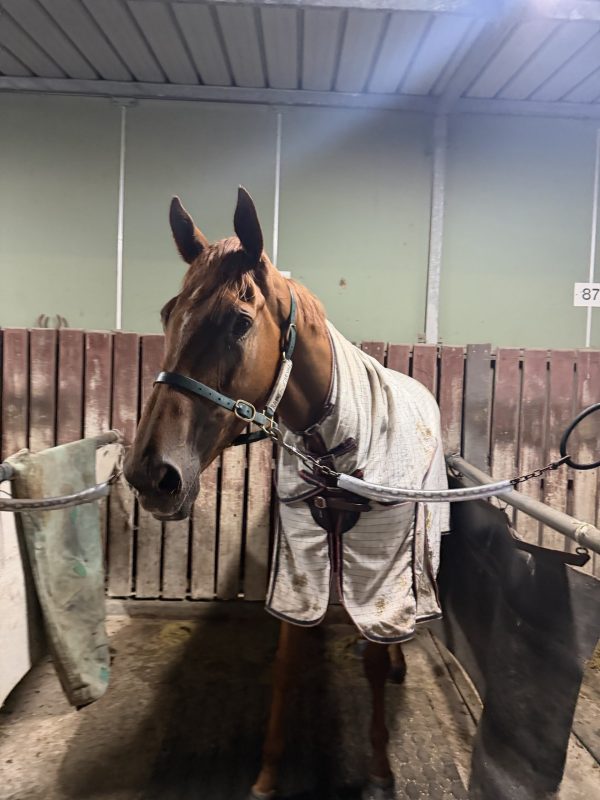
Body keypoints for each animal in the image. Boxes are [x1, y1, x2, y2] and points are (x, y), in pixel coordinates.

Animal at [124, 188, 449, 799]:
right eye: (167, 314)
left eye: (238, 321)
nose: (149, 475)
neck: (341, 444)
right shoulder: (302, 556)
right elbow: (286, 660)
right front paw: (268, 772)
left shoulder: (380, 564)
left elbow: (372, 658)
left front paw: (379, 767)